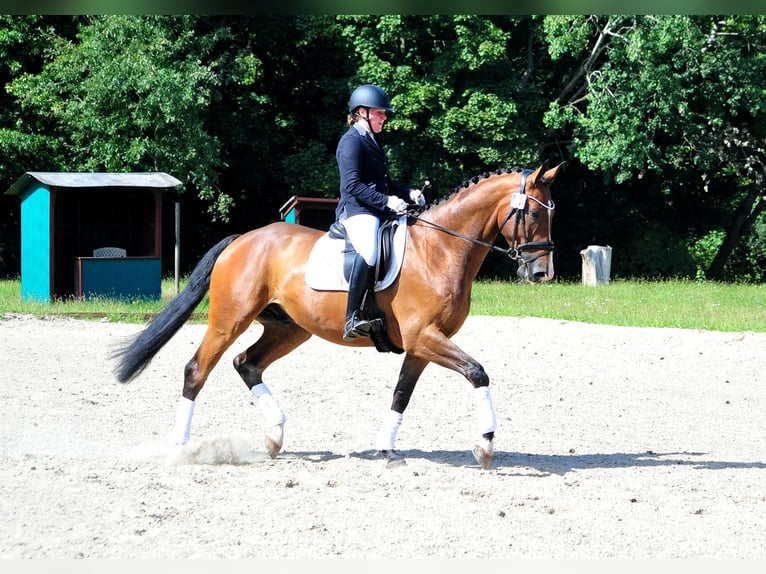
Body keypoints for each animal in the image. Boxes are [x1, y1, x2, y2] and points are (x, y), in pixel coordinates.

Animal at [112, 160, 563, 469]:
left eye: (551, 213)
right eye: (534, 213)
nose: (542, 273)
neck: (440, 249)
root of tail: (242, 239)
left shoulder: (421, 345)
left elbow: (401, 394)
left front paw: (388, 450)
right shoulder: (425, 337)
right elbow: (478, 373)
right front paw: (485, 445)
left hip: (289, 329)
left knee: (246, 363)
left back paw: (275, 437)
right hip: (229, 321)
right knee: (197, 370)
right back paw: (181, 448)